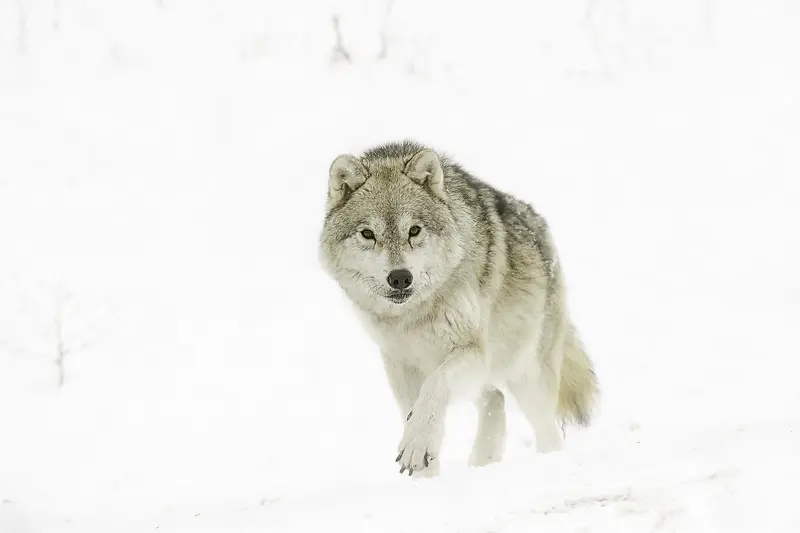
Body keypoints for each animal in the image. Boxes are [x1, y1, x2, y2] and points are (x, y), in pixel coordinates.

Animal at [316, 139, 596, 476]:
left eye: (414, 230)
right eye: (368, 234)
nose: (400, 278)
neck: (414, 316)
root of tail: (539, 225)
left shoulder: (471, 352)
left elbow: (434, 389)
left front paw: (417, 445)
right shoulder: (399, 364)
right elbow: (417, 411)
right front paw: (425, 476)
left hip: (527, 376)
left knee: (546, 431)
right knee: (495, 398)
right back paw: (482, 463)